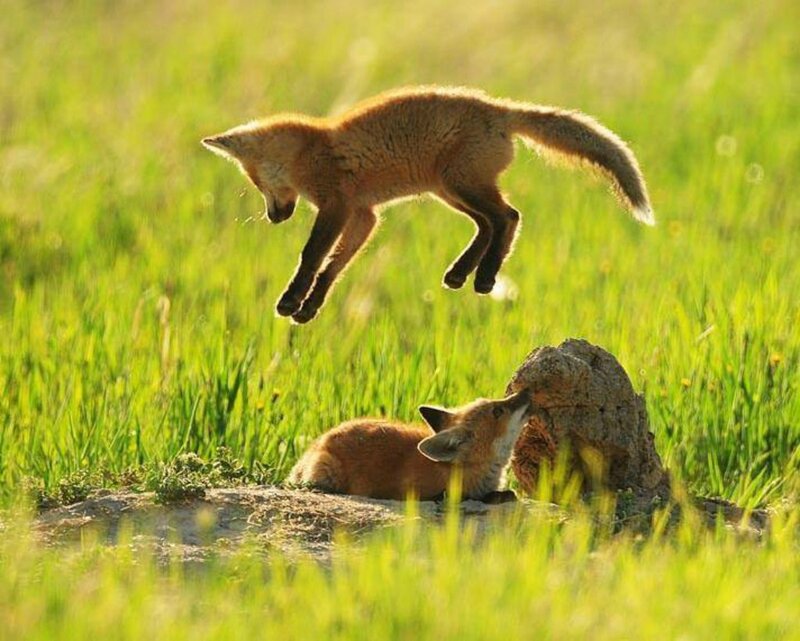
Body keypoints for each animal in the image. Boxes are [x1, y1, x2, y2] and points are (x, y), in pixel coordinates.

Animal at [202, 86, 654, 324]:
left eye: (256, 183)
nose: (274, 218)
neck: (313, 150)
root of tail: (499, 108)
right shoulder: (365, 215)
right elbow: (336, 266)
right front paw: (310, 306)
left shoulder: (338, 206)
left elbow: (313, 256)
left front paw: (292, 300)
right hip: (450, 191)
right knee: (491, 224)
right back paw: (462, 275)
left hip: (460, 185)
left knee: (508, 217)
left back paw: (484, 277)